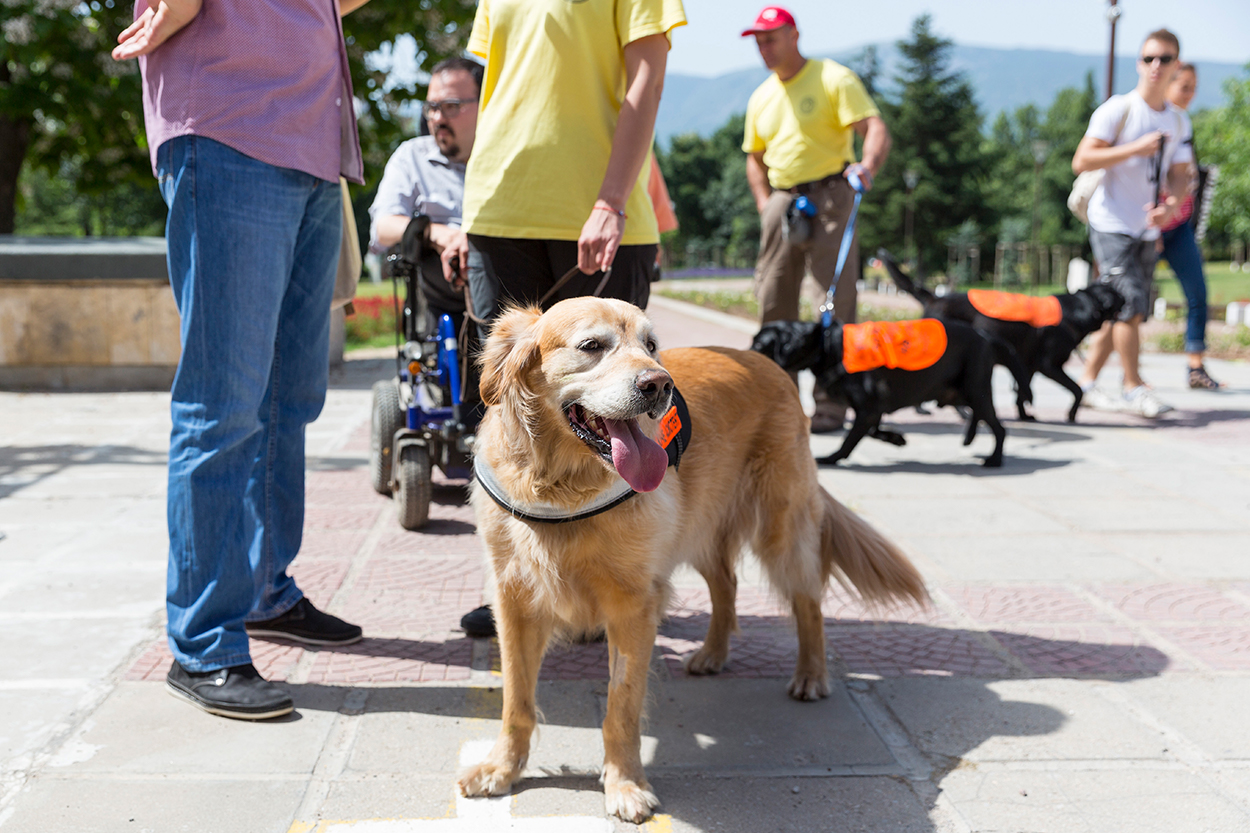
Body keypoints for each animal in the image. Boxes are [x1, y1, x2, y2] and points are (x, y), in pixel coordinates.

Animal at [460, 296, 930, 815]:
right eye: (592, 345)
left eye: (651, 345)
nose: (658, 384)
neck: (561, 484)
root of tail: (769, 364)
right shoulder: (515, 600)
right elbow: (516, 701)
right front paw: (502, 768)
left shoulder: (634, 603)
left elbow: (621, 706)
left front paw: (625, 783)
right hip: (700, 526)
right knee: (728, 585)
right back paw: (713, 653)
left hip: (781, 527)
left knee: (808, 602)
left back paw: (810, 674)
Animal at [750, 315, 1005, 462]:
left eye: (760, 344)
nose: (744, 357)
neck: (828, 345)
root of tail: (983, 335)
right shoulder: (873, 409)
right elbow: (872, 431)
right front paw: (895, 438)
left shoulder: (869, 408)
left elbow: (849, 440)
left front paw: (832, 458)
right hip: (955, 393)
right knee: (978, 414)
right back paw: (969, 439)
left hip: (973, 389)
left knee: (998, 427)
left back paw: (994, 459)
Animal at [880, 245, 1125, 415]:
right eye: (1116, 295)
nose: (1127, 295)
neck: (1078, 309)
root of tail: (935, 298)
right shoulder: (1048, 365)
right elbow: (1077, 390)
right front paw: (1072, 415)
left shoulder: (1029, 365)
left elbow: (1022, 393)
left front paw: (1025, 417)